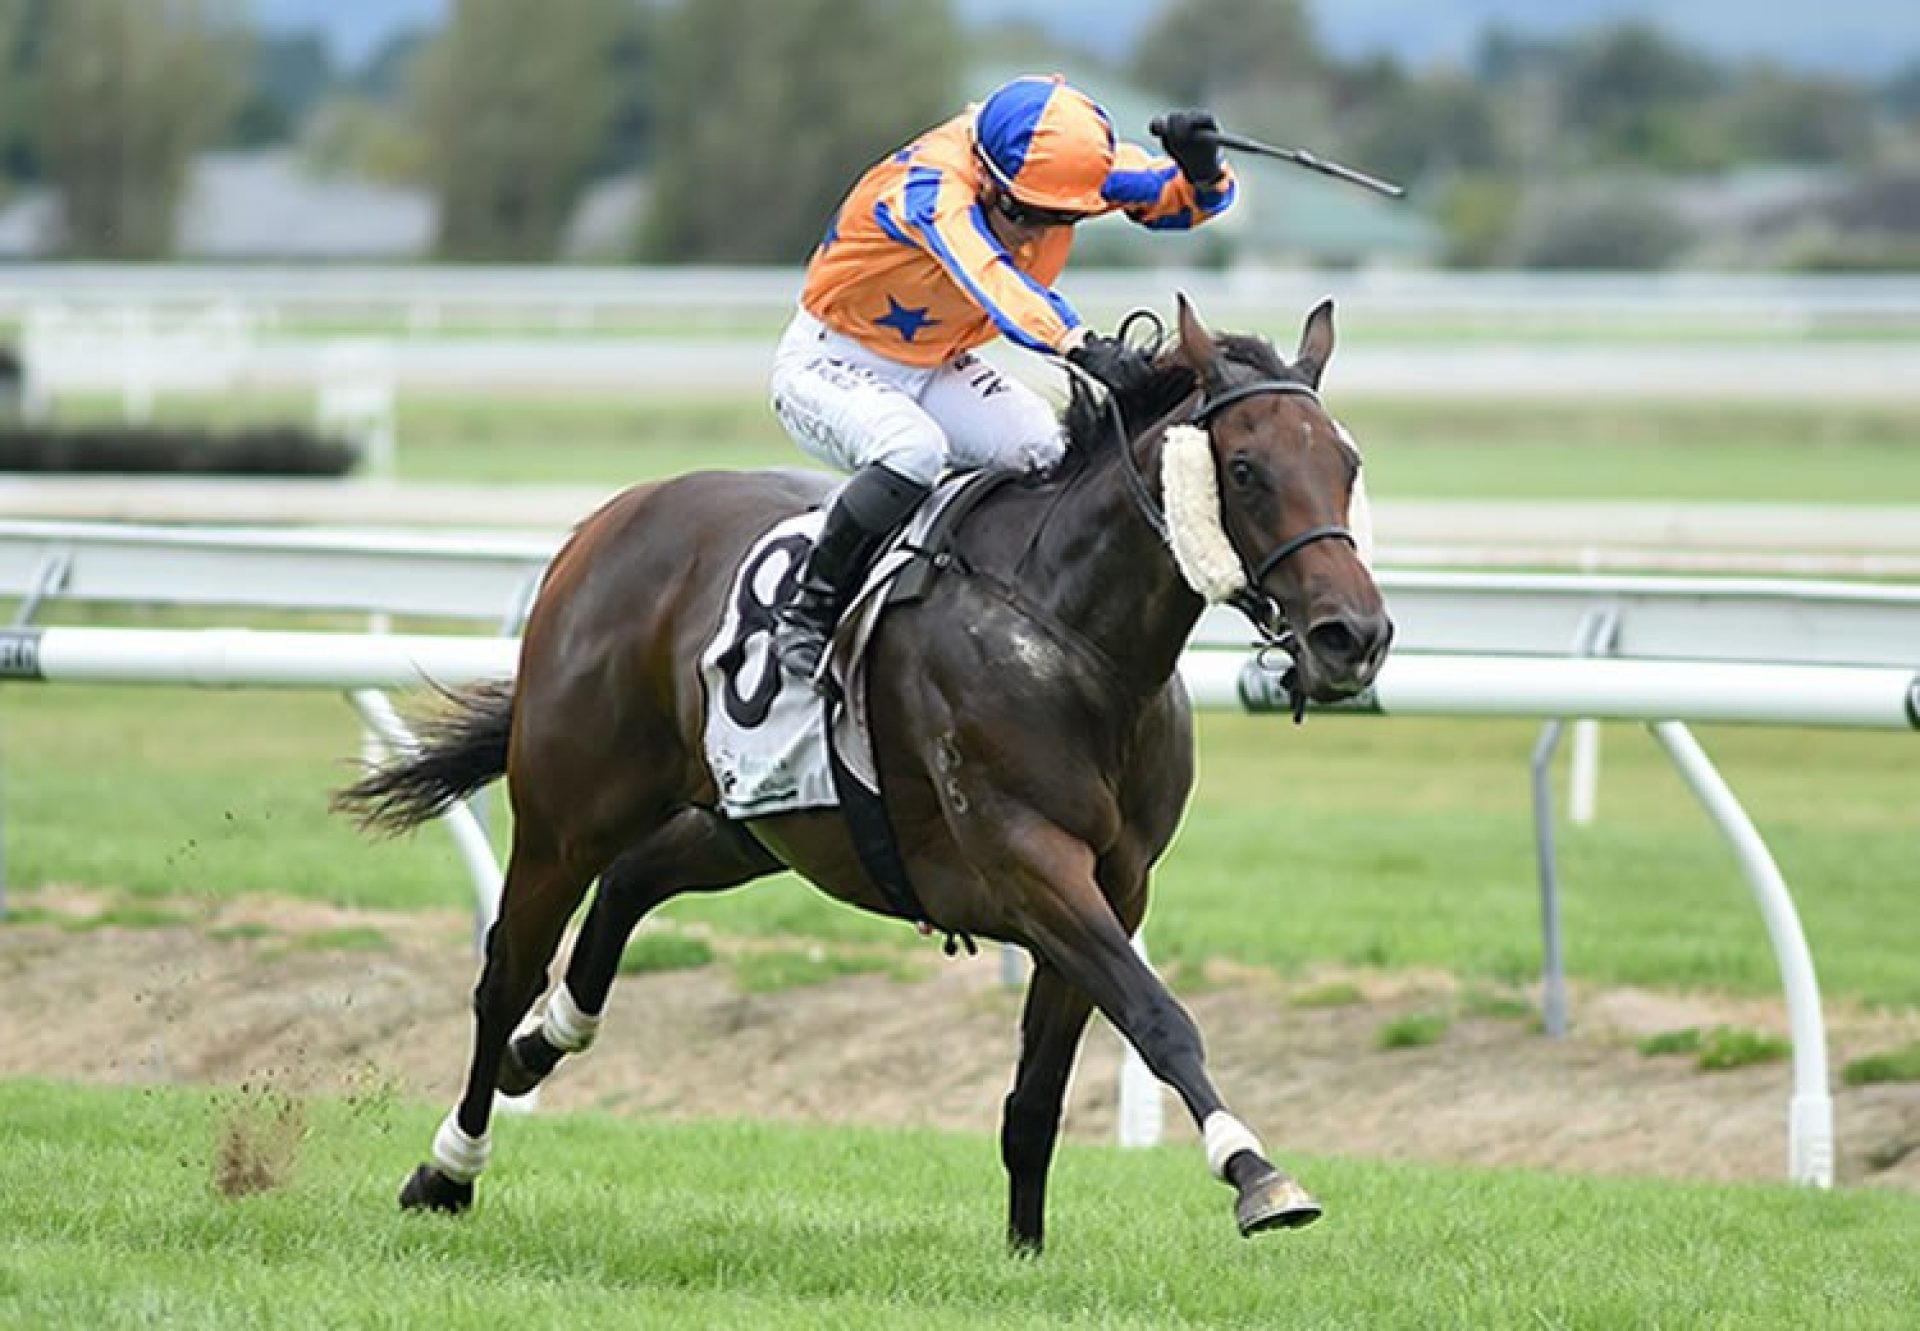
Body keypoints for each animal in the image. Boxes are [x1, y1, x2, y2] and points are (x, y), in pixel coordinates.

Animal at [341, 295, 1397, 1252]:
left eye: (1347, 465)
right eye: (1247, 469)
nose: (1354, 636)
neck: (1072, 634)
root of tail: (603, 522)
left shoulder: (1115, 882)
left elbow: (1038, 1094)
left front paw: (1025, 1250)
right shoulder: (1032, 861)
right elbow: (1158, 1015)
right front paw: (1257, 1173)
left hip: (756, 817)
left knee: (635, 879)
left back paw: (546, 1040)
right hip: (568, 807)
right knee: (505, 970)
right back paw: (449, 1168)